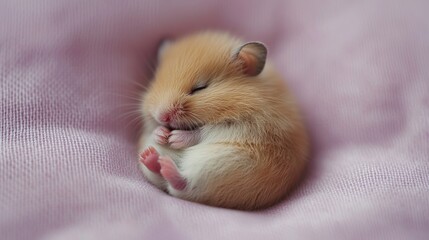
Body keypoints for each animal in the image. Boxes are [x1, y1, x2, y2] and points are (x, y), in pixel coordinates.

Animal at [137, 30, 308, 210]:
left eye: (199, 88)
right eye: (156, 82)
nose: (162, 116)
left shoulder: (247, 124)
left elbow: (203, 132)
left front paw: (174, 138)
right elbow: (152, 128)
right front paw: (162, 134)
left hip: (221, 165)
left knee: (182, 183)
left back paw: (165, 165)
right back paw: (150, 157)